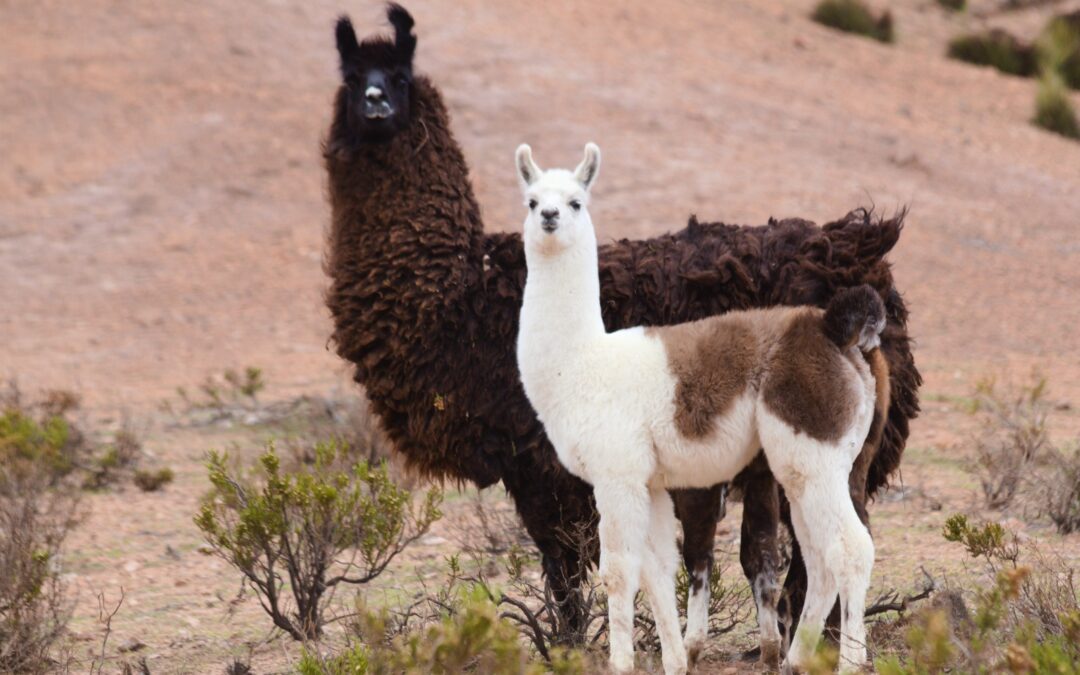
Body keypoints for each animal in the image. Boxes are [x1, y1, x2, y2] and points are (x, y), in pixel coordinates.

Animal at [518, 143, 889, 673]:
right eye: (531, 201)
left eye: (575, 202)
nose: (549, 217)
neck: (583, 362)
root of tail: (834, 329)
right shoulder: (651, 481)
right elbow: (657, 569)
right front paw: (675, 661)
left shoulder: (617, 474)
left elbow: (619, 571)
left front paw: (621, 663)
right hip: (829, 462)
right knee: (819, 559)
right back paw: (796, 659)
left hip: (811, 448)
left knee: (850, 549)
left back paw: (850, 661)